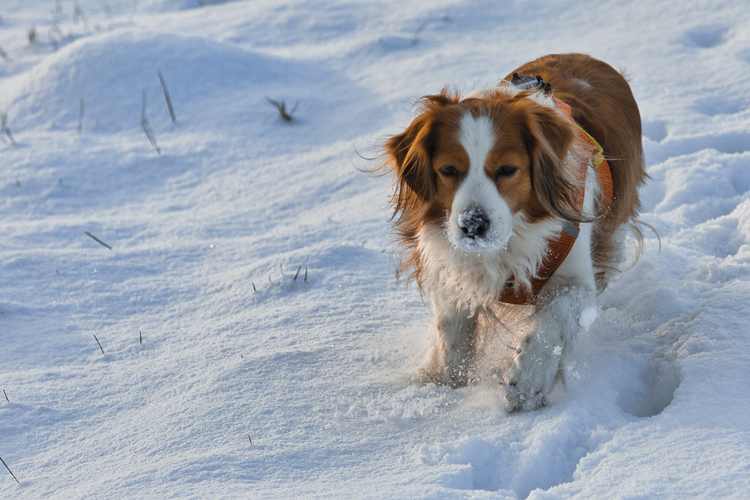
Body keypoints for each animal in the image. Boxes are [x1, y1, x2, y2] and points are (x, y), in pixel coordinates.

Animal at [378, 53, 648, 410]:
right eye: (448, 170)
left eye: (507, 169)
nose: (473, 225)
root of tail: (586, 57)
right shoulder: (451, 268)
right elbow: (452, 332)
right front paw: (451, 385)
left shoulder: (576, 279)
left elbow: (554, 318)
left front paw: (529, 378)